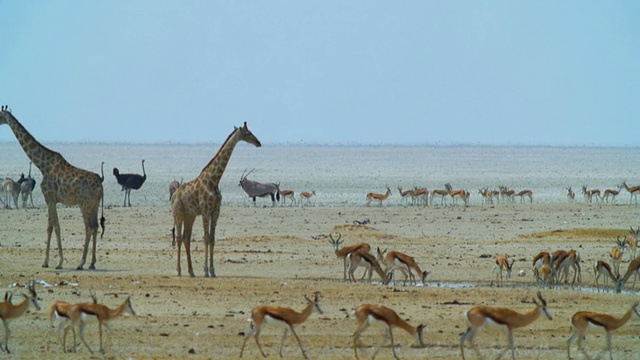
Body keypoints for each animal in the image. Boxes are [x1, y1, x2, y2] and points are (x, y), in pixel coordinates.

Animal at [0, 105, 104, 268]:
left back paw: (81, 263)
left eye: (0, 115)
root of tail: (100, 185)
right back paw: (92, 263)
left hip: (84, 203)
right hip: (94, 204)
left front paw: (58, 261)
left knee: (89, 227)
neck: (43, 165)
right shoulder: (50, 199)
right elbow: (49, 227)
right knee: (95, 226)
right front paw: (46, 261)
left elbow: (56, 227)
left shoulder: (50, 197)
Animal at [171, 122, 262, 278]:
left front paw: (212, 271)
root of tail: (175, 194)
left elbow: (212, 239)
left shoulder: (216, 211)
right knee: (178, 238)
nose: (258, 142)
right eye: (248, 133)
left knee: (186, 238)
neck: (213, 181)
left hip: (190, 214)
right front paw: (206, 271)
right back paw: (178, 271)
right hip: (178, 212)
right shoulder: (206, 211)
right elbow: (206, 238)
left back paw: (191, 272)